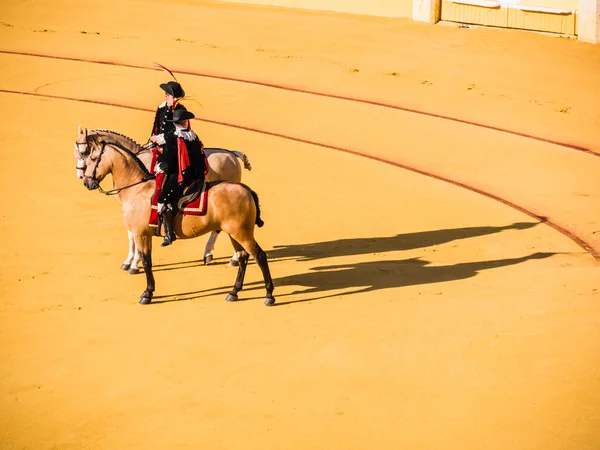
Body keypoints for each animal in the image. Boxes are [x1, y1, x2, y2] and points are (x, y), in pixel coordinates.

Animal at [75, 129, 276, 306]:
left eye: (91, 157)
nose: (86, 181)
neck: (137, 188)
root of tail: (246, 190)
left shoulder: (141, 233)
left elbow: (146, 261)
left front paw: (146, 292)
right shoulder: (144, 234)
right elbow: (146, 258)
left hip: (242, 233)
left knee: (259, 255)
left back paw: (268, 295)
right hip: (234, 233)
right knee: (243, 257)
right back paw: (233, 291)